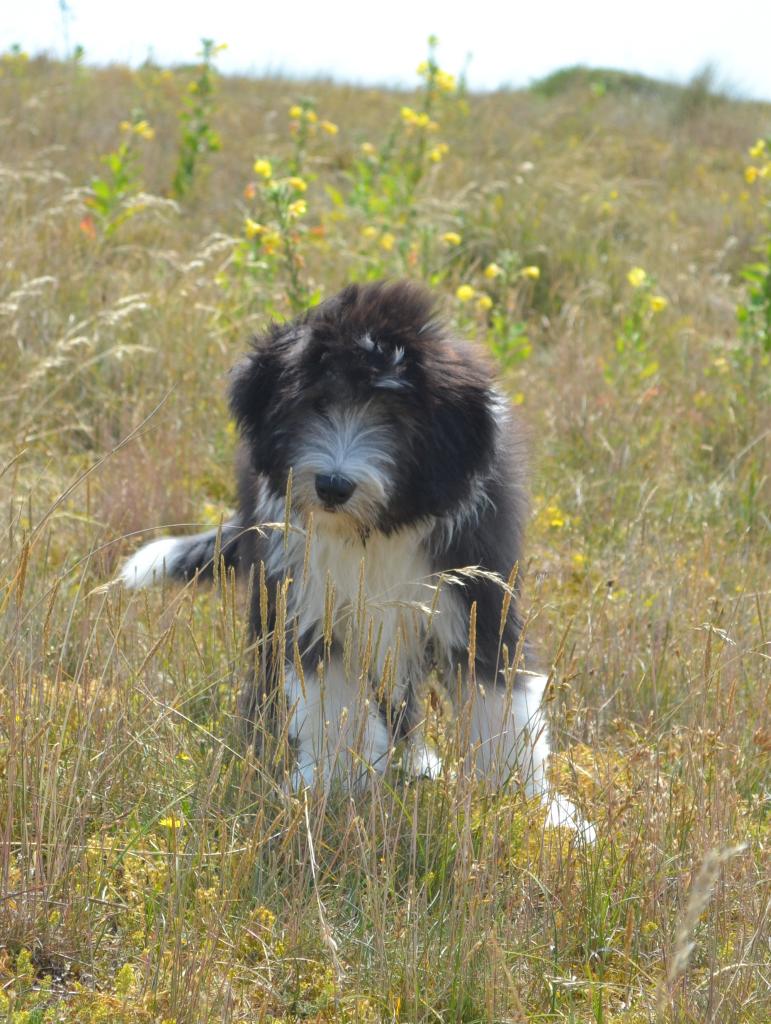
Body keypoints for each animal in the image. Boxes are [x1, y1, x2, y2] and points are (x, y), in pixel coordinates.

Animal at [123, 280, 585, 831]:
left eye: (393, 415)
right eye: (318, 402)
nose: (332, 485)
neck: (372, 531)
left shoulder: (477, 594)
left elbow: (500, 703)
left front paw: (534, 810)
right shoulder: (308, 604)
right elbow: (332, 702)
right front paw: (331, 787)